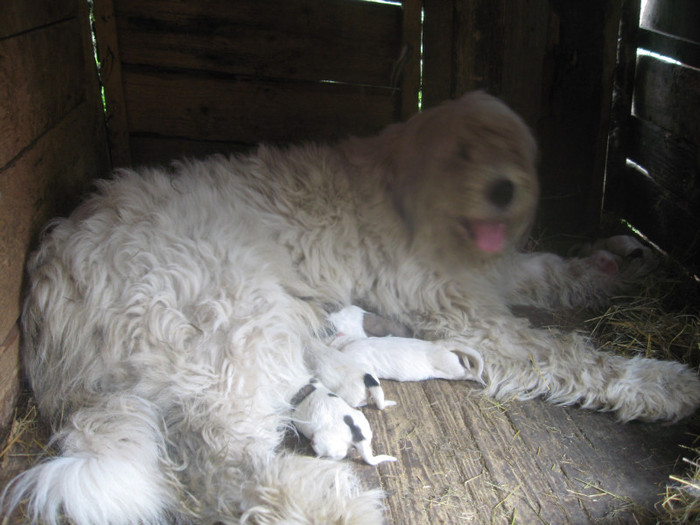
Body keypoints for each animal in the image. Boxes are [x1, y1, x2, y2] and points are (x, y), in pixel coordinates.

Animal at [4, 92, 700, 520]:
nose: (505, 189)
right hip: (238, 329)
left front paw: (621, 266)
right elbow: (574, 355)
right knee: (226, 468)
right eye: (462, 153)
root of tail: (49, 298)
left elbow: (557, 276)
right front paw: (665, 383)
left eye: (511, 148)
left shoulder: (497, 275)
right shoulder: (475, 320)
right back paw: (338, 508)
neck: (408, 195)